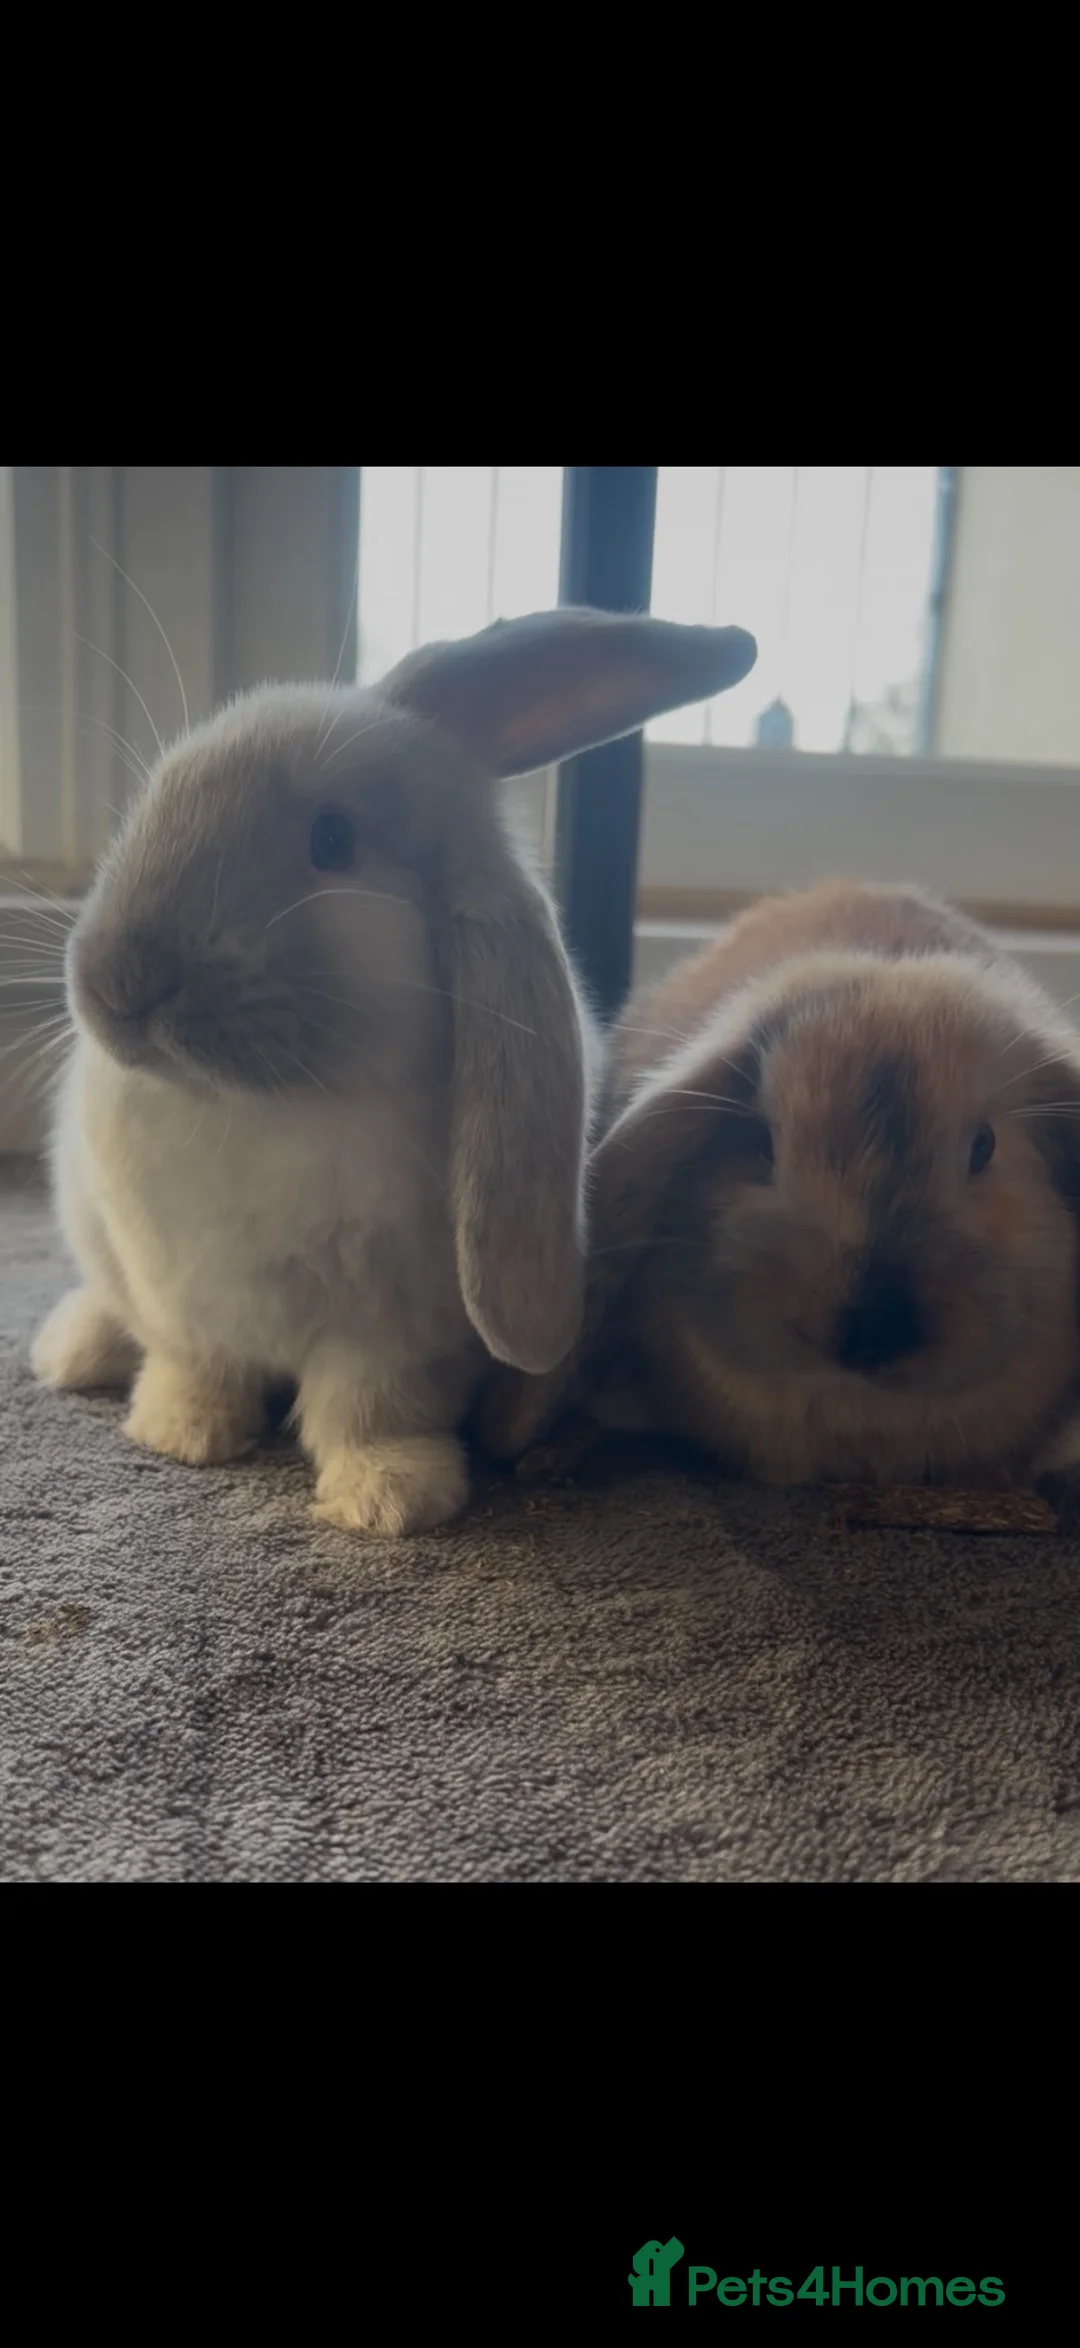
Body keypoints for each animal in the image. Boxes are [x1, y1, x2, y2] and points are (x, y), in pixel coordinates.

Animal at [30, 605, 758, 1535]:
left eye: (333, 840)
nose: (115, 982)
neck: (281, 1104)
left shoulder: (401, 1336)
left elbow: (367, 1409)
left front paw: (389, 1500)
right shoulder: (183, 1297)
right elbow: (199, 1365)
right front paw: (184, 1435)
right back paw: (68, 1352)